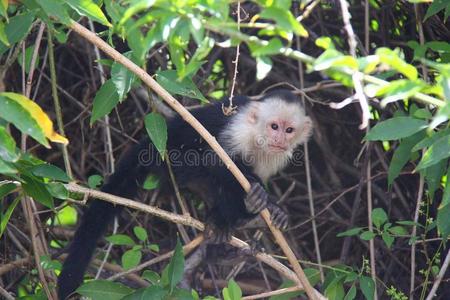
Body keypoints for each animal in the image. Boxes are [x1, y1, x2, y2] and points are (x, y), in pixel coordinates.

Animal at [57, 89, 312, 298]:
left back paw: (228, 239)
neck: (258, 139)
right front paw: (259, 194)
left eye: (289, 130)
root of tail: (147, 143)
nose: (279, 139)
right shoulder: (239, 129)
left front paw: (273, 209)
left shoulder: (276, 157)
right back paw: (226, 220)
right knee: (202, 164)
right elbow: (215, 157)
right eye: (274, 126)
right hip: (169, 158)